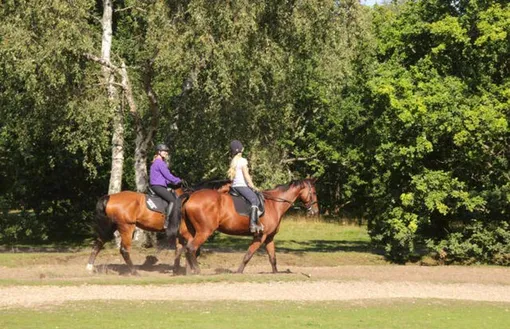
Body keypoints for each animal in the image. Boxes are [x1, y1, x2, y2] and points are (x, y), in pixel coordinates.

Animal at [86, 179, 230, 274]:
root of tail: (110, 197)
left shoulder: (180, 234)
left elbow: (179, 249)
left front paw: (177, 270)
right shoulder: (186, 232)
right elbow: (190, 249)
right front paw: (190, 269)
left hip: (110, 227)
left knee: (99, 243)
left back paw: (89, 266)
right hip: (127, 227)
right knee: (124, 250)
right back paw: (134, 272)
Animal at [175, 178, 318, 272]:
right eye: (314, 193)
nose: (315, 211)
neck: (274, 204)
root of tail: (191, 196)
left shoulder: (269, 237)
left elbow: (272, 258)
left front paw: (275, 273)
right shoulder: (260, 236)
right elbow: (248, 255)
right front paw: (239, 272)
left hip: (192, 232)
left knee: (186, 249)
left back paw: (189, 272)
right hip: (204, 232)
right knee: (191, 248)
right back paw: (197, 271)